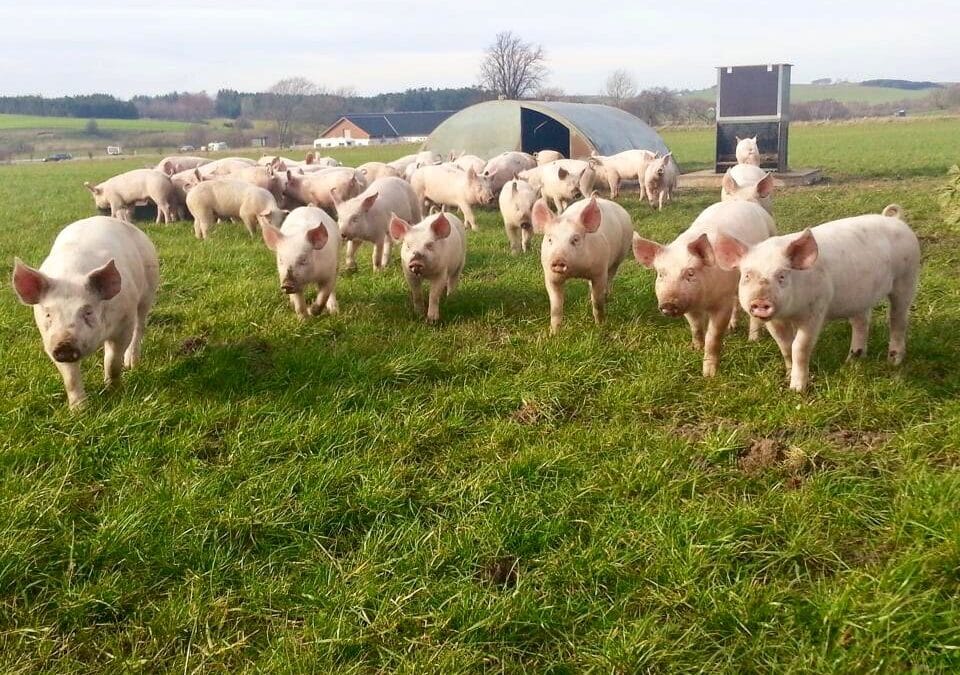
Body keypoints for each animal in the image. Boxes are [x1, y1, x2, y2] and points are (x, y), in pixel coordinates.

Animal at [11, 216, 159, 408]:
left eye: (87, 311)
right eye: (48, 314)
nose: (64, 345)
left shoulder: (123, 323)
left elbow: (113, 362)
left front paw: (114, 392)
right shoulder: (49, 342)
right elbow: (70, 377)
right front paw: (79, 410)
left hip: (149, 289)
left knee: (140, 327)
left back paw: (132, 364)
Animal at [533, 196, 634, 334]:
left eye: (575, 239)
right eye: (550, 240)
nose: (558, 260)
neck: (576, 271)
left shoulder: (600, 271)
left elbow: (598, 302)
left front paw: (600, 326)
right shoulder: (550, 276)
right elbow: (556, 307)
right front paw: (553, 333)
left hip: (619, 256)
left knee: (611, 277)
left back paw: (607, 296)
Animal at [632, 201, 777, 377]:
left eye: (690, 273)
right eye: (661, 274)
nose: (668, 304)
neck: (702, 302)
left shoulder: (722, 303)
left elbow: (713, 337)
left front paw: (709, 375)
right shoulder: (688, 305)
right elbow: (695, 327)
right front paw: (695, 349)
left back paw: (753, 341)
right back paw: (732, 328)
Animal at [714, 204, 921, 392]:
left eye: (782, 275)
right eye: (747, 275)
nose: (760, 301)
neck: (790, 313)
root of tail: (896, 220)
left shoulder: (816, 310)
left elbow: (799, 347)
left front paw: (797, 390)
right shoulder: (774, 320)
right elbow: (785, 346)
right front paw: (788, 376)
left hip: (907, 277)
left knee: (898, 320)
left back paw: (893, 361)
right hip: (861, 296)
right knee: (861, 322)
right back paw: (853, 361)